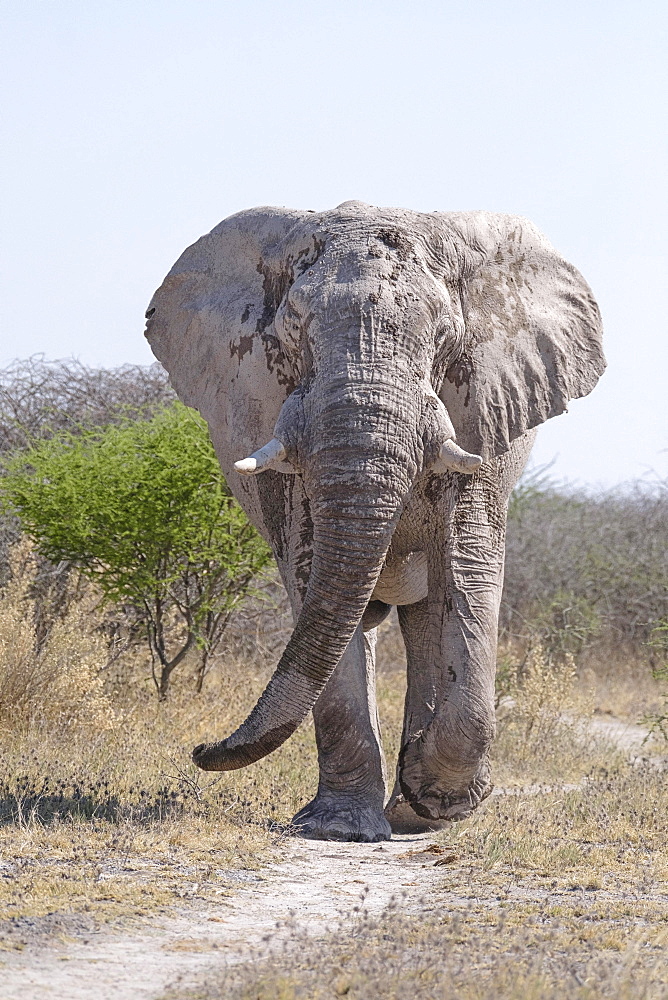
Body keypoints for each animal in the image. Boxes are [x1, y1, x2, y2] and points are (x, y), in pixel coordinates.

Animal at [146, 199, 604, 840]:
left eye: (444, 334)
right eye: (294, 329)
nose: (200, 749)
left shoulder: (478, 412)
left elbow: (470, 568)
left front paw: (431, 798)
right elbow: (312, 570)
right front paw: (338, 829)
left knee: (429, 612)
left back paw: (412, 807)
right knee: (355, 616)